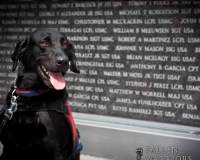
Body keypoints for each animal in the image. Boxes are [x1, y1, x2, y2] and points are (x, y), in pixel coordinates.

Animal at [0, 28, 82, 160]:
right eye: (44, 43)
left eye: (65, 45)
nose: (64, 61)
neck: (32, 95)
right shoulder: (9, 147)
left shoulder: (56, 151)